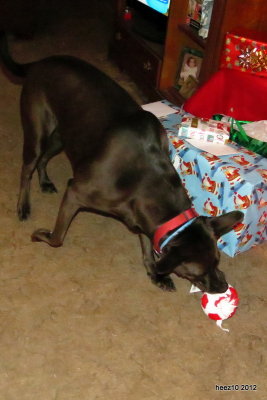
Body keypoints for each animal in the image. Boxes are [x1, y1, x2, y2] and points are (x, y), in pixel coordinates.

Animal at [0, 37, 244, 294]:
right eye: (198, 272)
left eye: (217, 260)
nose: (223, 286)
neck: (144, 178)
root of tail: (42, 61)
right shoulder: (75, 193)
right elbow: (57, 238)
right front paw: (40, 235)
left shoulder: (144, 218)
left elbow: (147, 246)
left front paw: (155, 273)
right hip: (37, 132)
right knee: (28, 167)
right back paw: (23, 205)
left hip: (61, 138)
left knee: (44, 159)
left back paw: (45, 181)